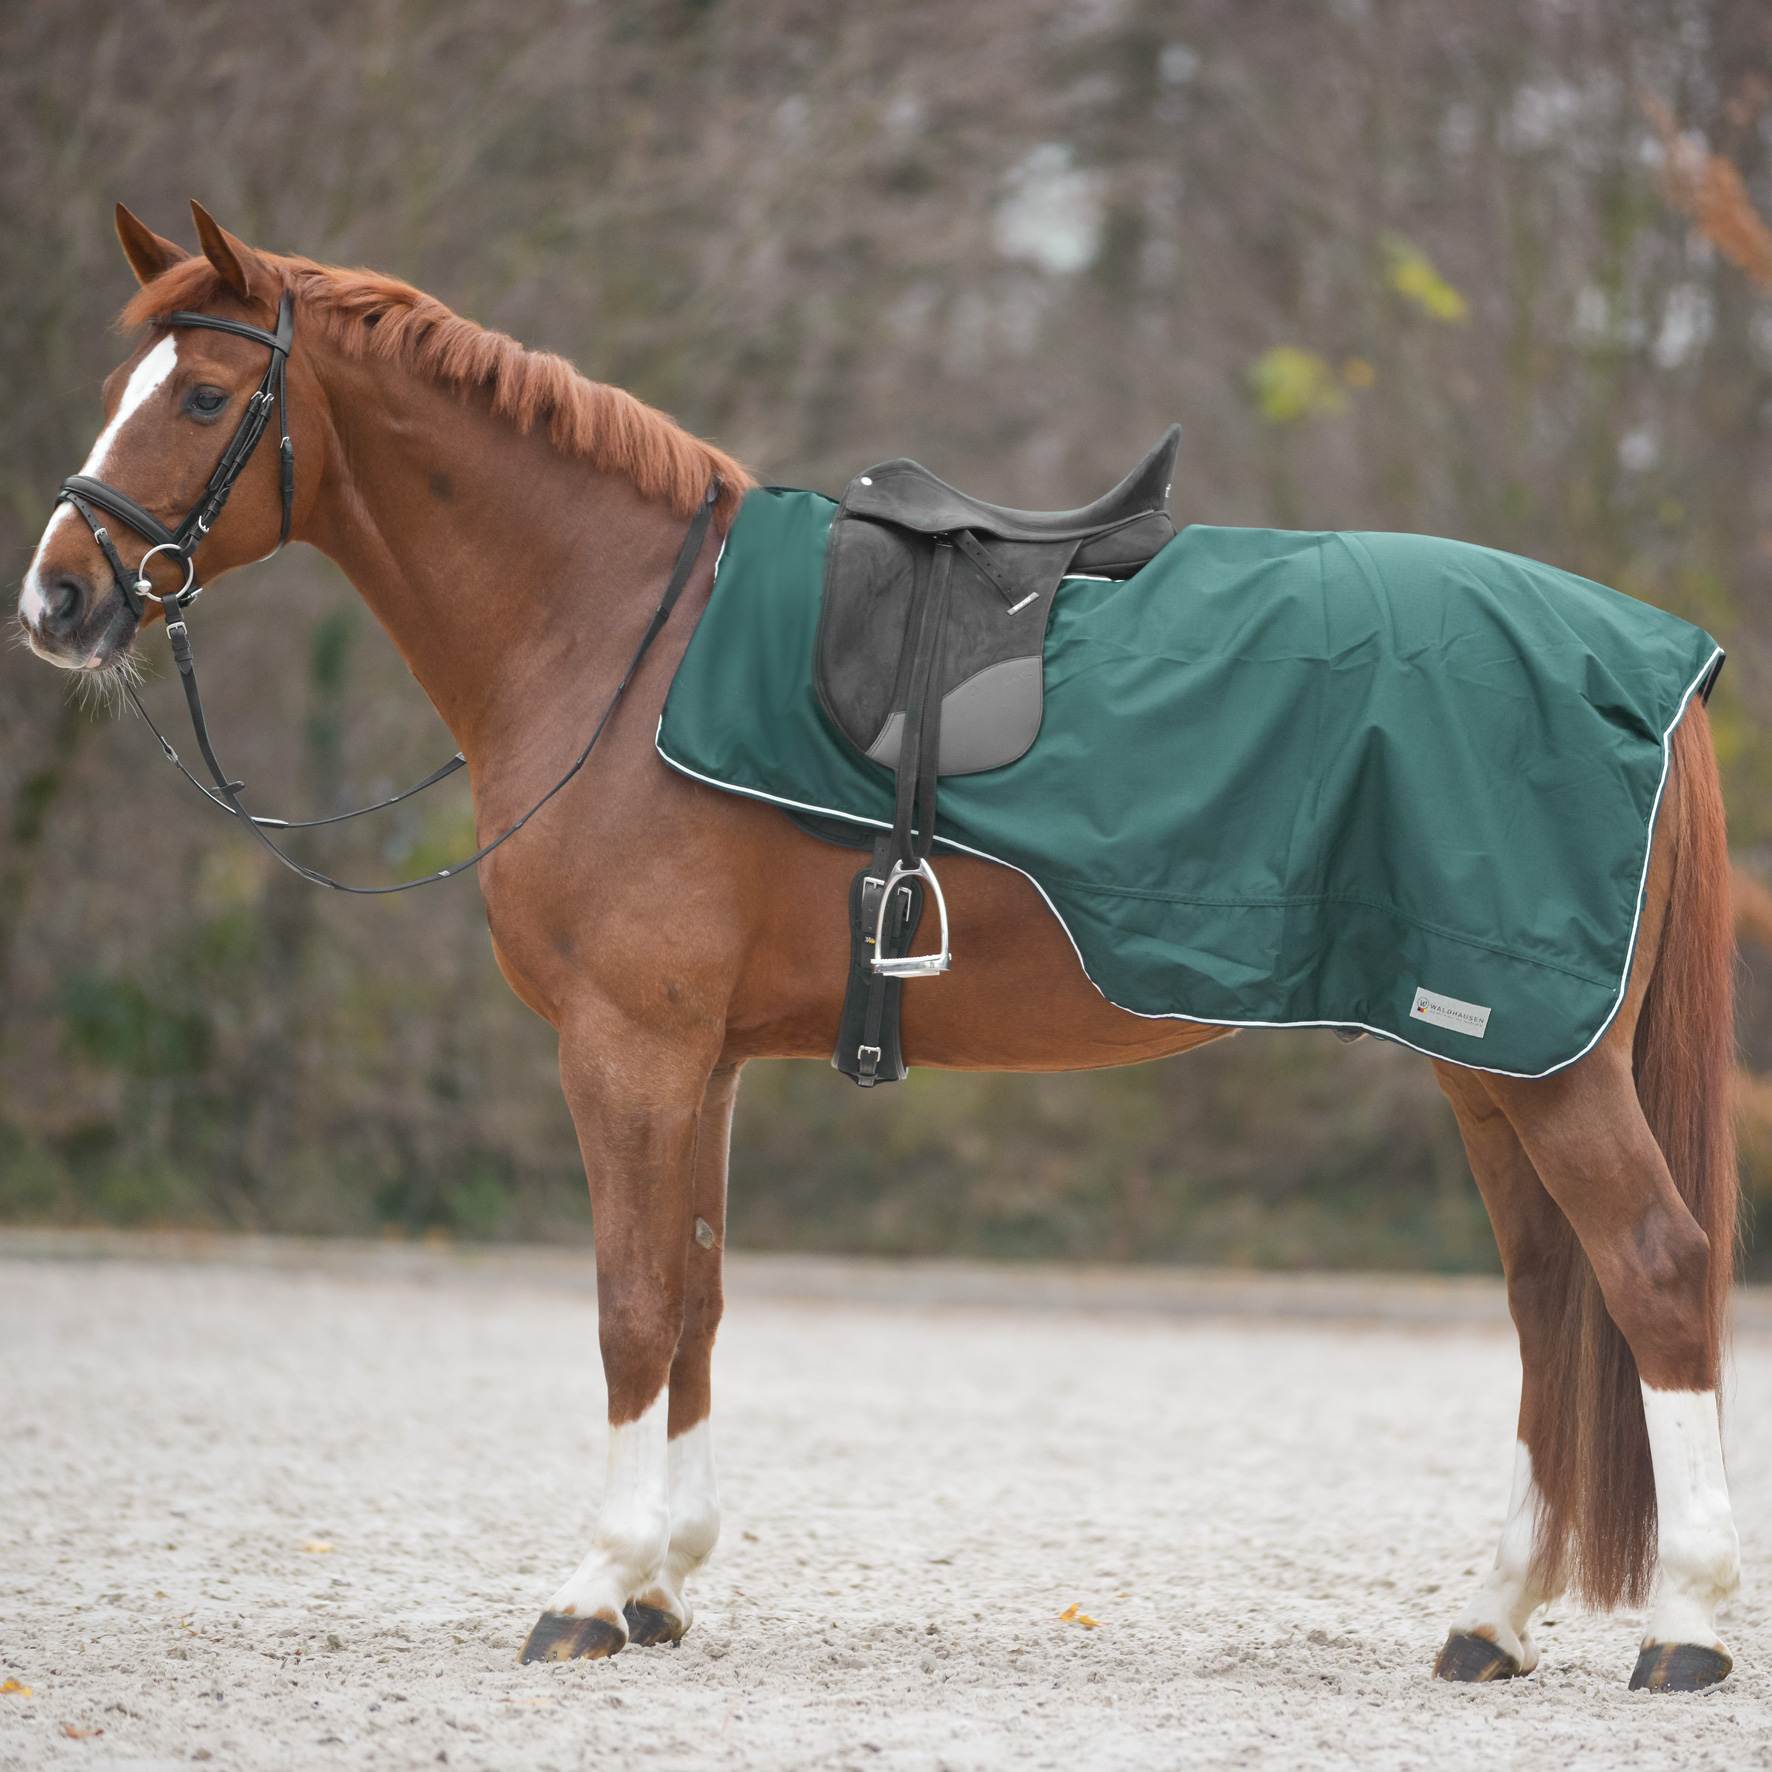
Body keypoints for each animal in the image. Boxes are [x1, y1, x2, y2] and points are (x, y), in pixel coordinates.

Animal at [20, 207, 1736, 1686]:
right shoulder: (700, 1061)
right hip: (1485, 1063)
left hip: (1543, 1065)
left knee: (1654, 1274)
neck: (617, 639)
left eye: (206, 395)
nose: (56, 598)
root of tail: (1649, 661)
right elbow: (698, 1298)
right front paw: (662, 1585)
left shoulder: (627, 1048)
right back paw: (1492, 1617)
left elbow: (630, 1303)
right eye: (118, 389)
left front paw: (590, 1588)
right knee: (1549, 1306)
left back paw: (1690, 1628)